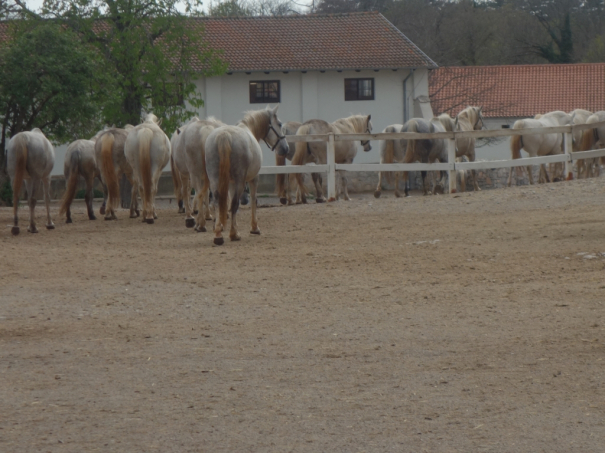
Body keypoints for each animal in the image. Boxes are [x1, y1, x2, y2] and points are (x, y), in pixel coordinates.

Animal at [205, 104, 288, 245]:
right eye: (280, 124)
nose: (285, 148)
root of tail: (224, 135)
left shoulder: (231, 183)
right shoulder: (254, 179)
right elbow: (253, 200)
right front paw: (254, 228)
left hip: (215, 180)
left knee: (217, 202)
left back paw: (218, 234)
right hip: (240, 181)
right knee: (234, 203)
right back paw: (234, 234)